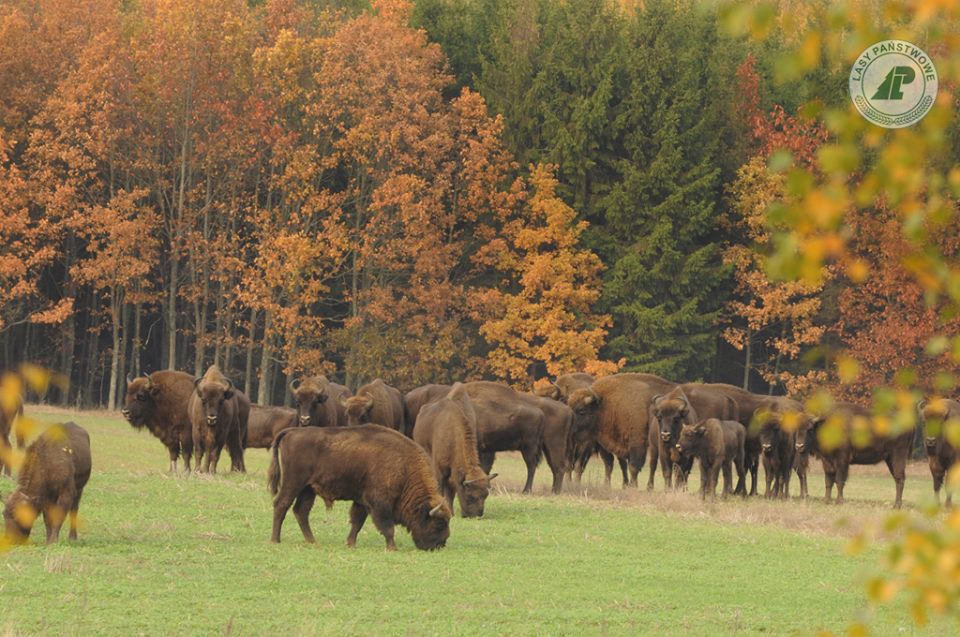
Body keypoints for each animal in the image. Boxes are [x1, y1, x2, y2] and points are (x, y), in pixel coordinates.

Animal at [268, 422, 452, 548]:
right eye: (439, 523)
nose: (441, 544)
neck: (404, 466)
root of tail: (292, 431)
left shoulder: (362, 501)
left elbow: (357, 521)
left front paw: (350, 543)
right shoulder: (379, 503)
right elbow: (387, 526)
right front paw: (392, 548)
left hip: (308, 489)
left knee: (301, 511)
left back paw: (312, 541)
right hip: (293, 483)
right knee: (281, 504)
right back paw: (275, 540)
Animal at [410, 382, 496, 516]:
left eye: (486, 495)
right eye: (470, 496)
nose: (477, 514)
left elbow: (451, 491)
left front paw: (451, 511)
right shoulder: (440, 469)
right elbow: (440, 489)